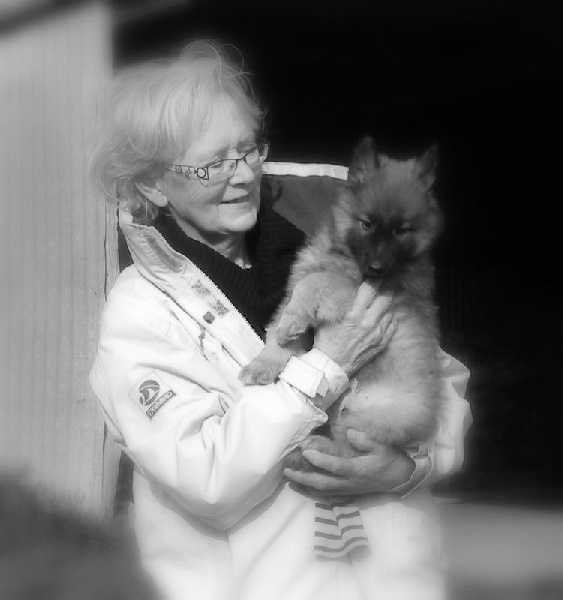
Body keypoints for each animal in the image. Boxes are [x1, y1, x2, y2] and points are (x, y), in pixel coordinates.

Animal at [240, 136, 444, 466]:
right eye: (366, 224)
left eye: (402, 230)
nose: (376, 268)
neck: (343, 255)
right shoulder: (298, 299)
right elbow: (280, 336)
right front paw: (263, 363)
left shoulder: (352, 292)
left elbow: (316, 282)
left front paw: (292, 320)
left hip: (361, 416)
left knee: (352, 453)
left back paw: (312, 447)